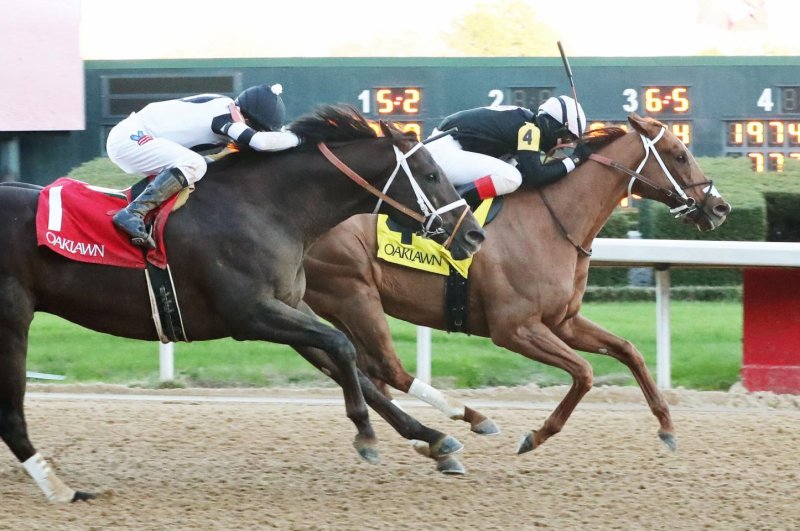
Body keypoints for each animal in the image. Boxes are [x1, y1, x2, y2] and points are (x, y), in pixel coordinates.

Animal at [0, 105, 488, 502]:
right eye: (430, 174)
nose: (473, 235)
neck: (268, 208)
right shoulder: (251, 316)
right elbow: (344, 346)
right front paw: (366, 435)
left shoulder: (289, 308)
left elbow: (350, 365)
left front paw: (436, 439)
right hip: (13, 318)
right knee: (12, 414)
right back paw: (58, 487)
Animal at [304, 113, 736, 466]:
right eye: (678, 154)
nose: (720, 208)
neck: (553, 220)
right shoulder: (514, 328)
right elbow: (585, 372)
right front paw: (536, 435)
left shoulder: (563, 321)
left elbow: (629, 351)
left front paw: (667, 426)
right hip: (353, 293)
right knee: (381, 367)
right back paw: (460, 424)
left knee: (353, 366)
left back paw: (424, 438)